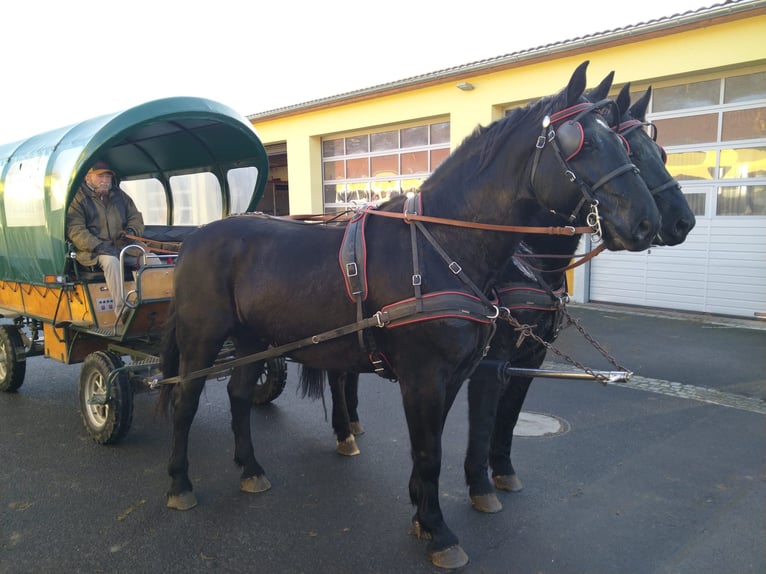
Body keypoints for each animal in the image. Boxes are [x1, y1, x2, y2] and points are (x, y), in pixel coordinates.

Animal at [158, 62, 660, 572]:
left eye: (630, 144)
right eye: (583, 142)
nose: (649, 222)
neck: (444, 245)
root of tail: (194, 239)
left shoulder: (457, 376)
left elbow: (431, 449)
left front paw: (423, 516)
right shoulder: (425, 376)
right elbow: (430, 451)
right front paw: (439, 532)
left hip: (253, 340)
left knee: (239, 395)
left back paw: (251, 469)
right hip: (203, 340)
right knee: (184, 402)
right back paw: (180, 483)